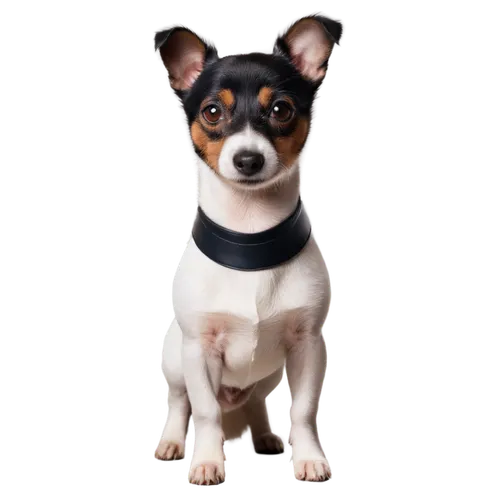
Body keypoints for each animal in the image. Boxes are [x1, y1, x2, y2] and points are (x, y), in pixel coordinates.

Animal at [151, 11, 340, 486]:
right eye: (212, 111)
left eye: (281, 110)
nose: (248, 159)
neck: (251, 235)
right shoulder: (200, 351)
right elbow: (205, 413)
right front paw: (206, 462)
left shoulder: (307, 347)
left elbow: (304, 411)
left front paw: (309, 459)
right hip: (176, 358)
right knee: (181, 403)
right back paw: (172, 443)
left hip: (266, 375)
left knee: (255, 401)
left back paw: (266, 436)